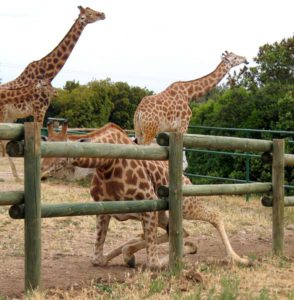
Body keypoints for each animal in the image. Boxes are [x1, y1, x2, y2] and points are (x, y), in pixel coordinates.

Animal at [40, 122, 250, 268]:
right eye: (45, 147)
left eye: (62, 154)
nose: (41, 172)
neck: (107, 164)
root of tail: (187, 179)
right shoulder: (103, 209)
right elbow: (97, 258)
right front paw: (126, 255)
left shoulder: (148, 204)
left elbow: (153, 263)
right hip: (164, 214)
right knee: (181, 231)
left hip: (186, 204)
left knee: (214, 215)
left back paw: (238, 258)